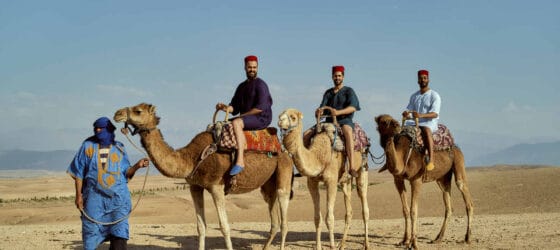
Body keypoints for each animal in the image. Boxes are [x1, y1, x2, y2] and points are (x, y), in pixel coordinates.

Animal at [112, 102, 294, 249]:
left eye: (138, 111)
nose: (117, 114)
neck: (191, 158)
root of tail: (283, 150)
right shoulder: (195, 186)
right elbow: (201, 227)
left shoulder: (216, 186)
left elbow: (224, 227)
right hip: (267, 185)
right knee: (274, 219)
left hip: (284, 171)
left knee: (284, 220)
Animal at [278, 108, 370, 250]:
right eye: (280, 114)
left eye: (293, 117)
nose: (280, 121)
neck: (319, 155)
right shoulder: (312, 182)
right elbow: (317, 218)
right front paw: (318, 246)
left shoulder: (331, 181)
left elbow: (329, 218)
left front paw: (331, 246)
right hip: (345, 180)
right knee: (348, 210)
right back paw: (342, 244)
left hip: (362, 168)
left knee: (364, 204)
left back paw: (366, 244)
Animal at [374, 114, 474, 249]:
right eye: (384, 121)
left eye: (392, 120)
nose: (397, 125)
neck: (402, 155)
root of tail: (454, 145)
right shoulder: (398, 179)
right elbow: (405, 210)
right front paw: (404, 240)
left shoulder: (416, 180)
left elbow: (413, 211)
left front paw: (413, 243)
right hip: (443, 178)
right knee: (448, 204)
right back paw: (438, 238)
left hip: (459, 163)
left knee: (466, 196)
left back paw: (467, 238)